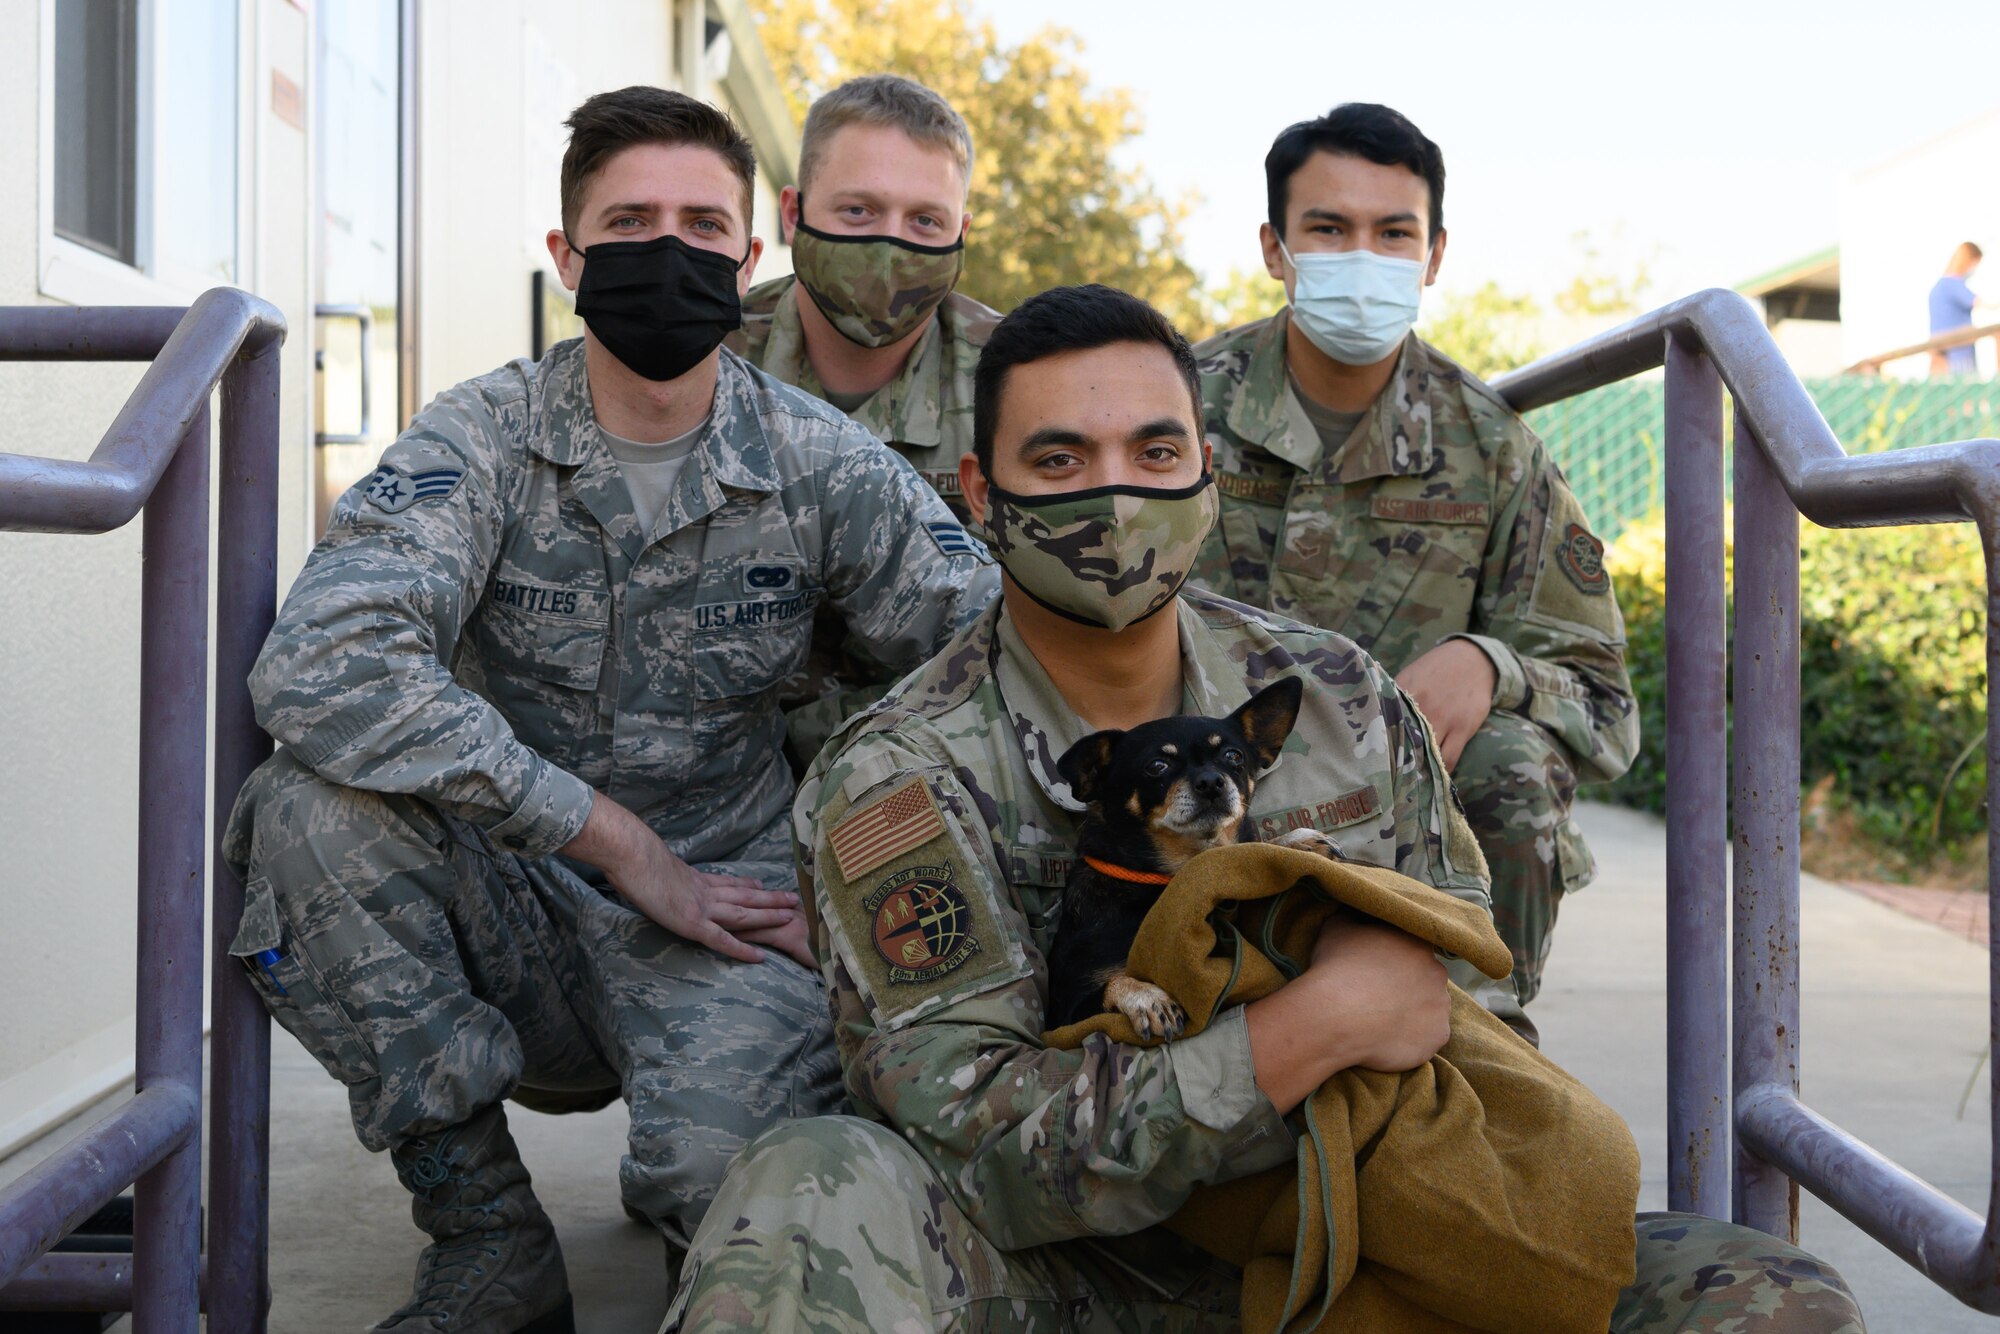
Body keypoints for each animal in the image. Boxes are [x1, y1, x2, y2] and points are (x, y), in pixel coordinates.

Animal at [1048, 680, 1344, 1040]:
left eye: (1233, 756)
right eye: (1157, 766)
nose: (1211, 781)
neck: (1178, 871)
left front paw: (1295, 841)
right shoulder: (1064, 1016)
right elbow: (1113, 984)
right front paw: (1147, 997)